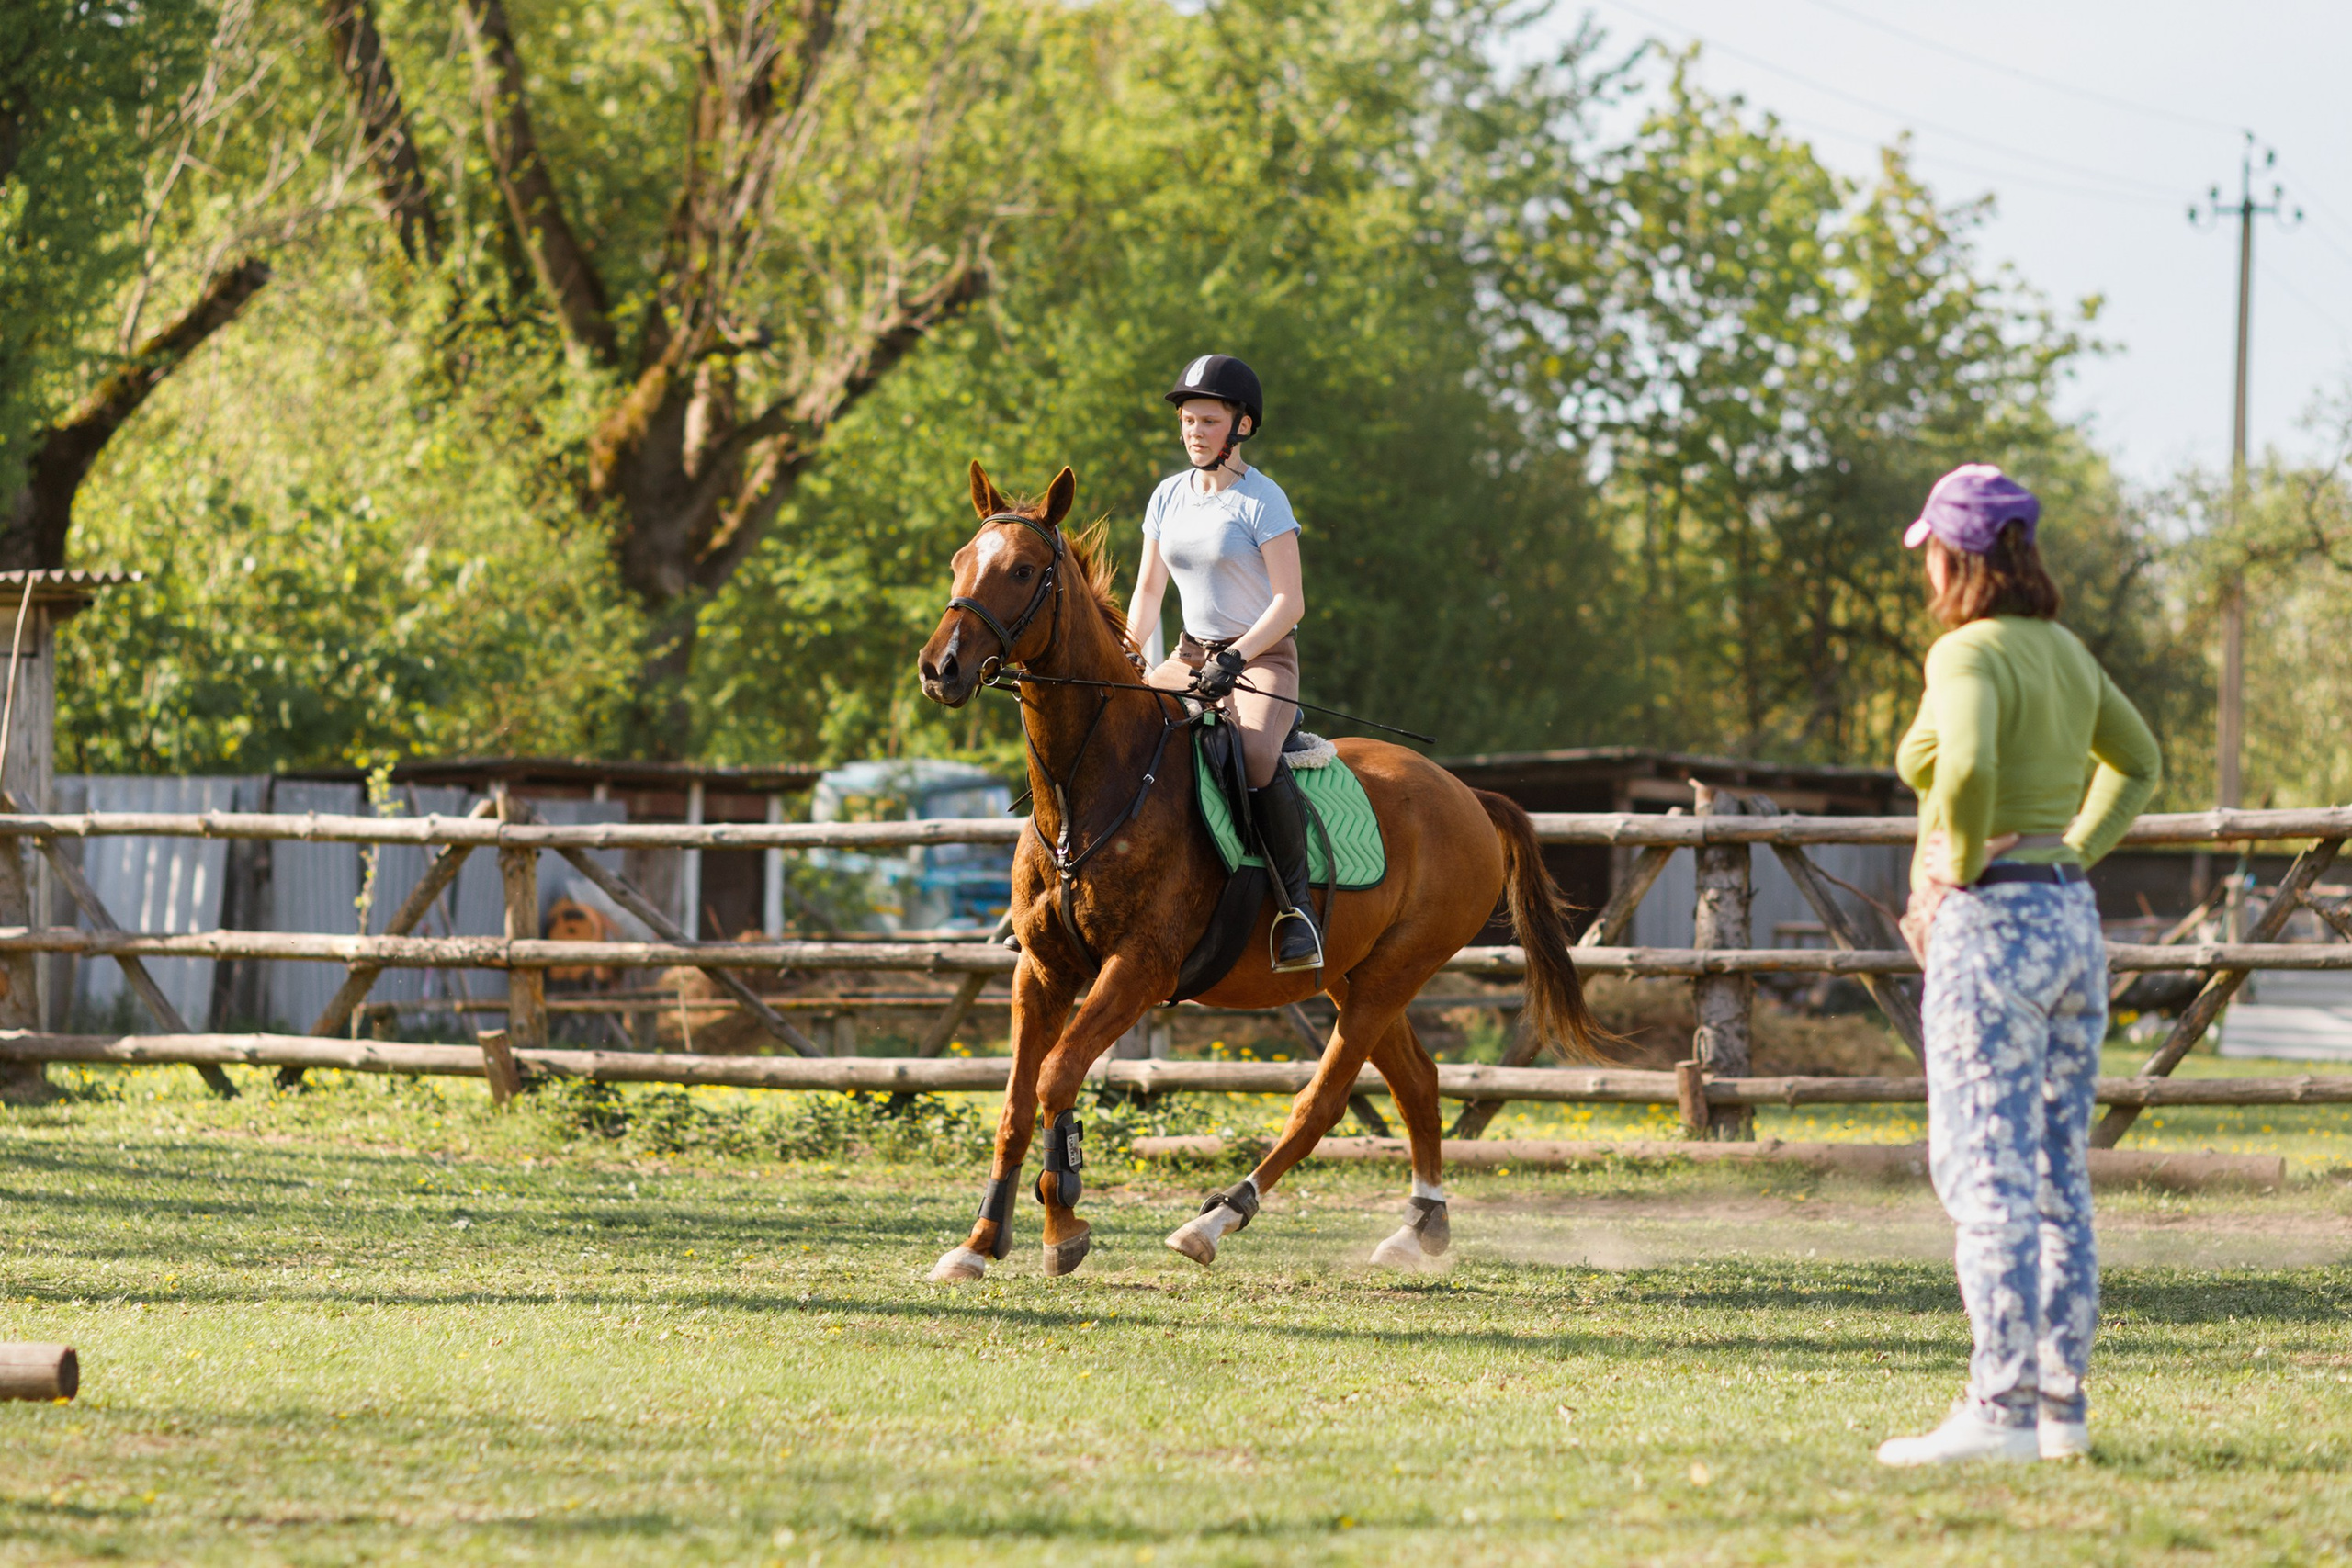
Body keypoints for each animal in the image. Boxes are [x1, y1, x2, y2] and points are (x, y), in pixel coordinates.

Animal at [914, 461, 1602, 1280]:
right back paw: (1420, 1227)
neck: (1093, 790)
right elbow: (1016, 1104)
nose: (940, 669)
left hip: (1393, 972)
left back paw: (1215, 1219)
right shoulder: (1043, 970)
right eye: (958, 560)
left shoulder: (1138, 967)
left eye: (1022, 571)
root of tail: (1467, 794)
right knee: (1419, 1082)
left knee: (1324, 1100)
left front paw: (1063, 1224)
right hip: (1356, 973)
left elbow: (1057, 1075)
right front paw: (979, 1243)